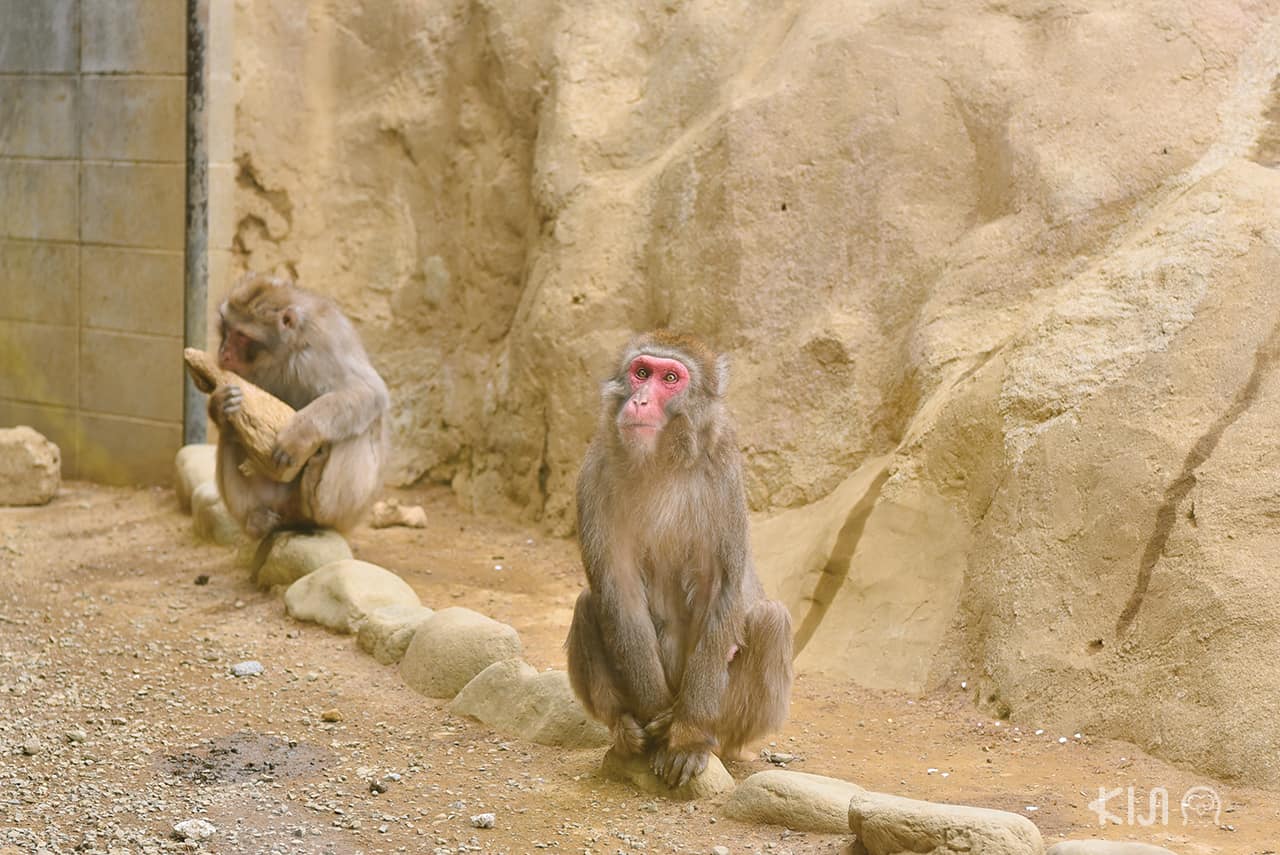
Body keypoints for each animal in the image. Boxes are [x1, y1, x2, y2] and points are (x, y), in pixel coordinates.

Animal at [208, 272, 389, 537]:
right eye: (227, 328)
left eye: (242, 336)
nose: (224, 353)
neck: (283, 352)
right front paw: (220, 403)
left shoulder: (325, 344)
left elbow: (368, 392)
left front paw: (300, 435)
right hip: (274, 497)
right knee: (233, 431)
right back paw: (257, 519)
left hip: (348, 513)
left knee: (360, 427)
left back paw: (314, 500)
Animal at [566, 330, 794, 788]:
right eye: (641, 372)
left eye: (670, 378)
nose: (639, 401)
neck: (661, 460)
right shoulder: (595, 469)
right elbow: (616, 587)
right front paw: (652, 712)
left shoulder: (722, 471)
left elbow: (720, 586)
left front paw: (686, 736)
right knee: (587, 604)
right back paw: (624, 726)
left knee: (770, 620)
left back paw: (704, 736)